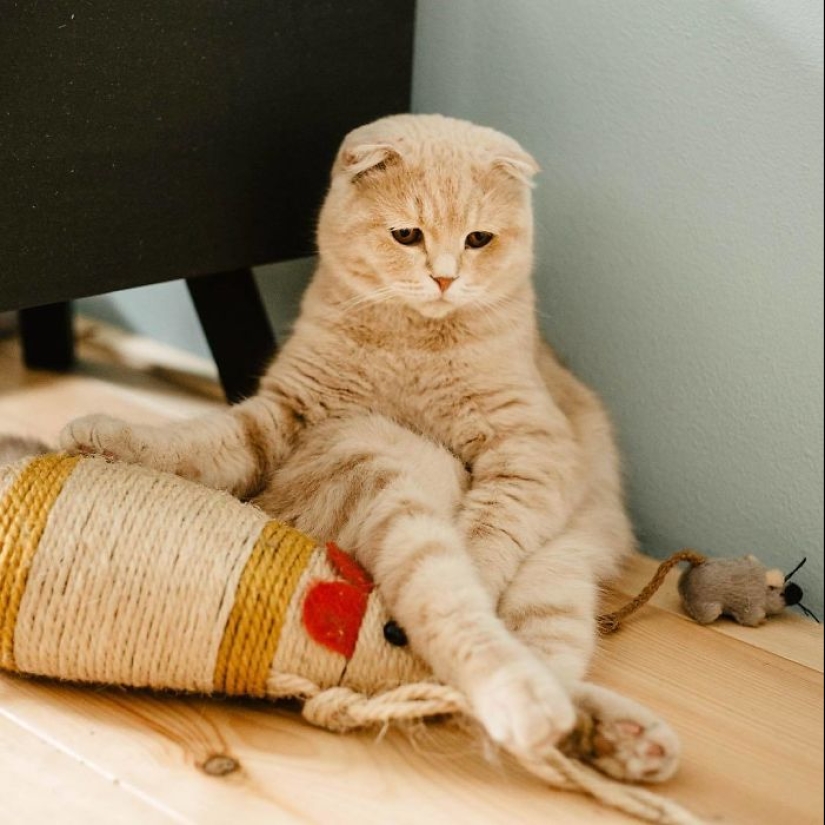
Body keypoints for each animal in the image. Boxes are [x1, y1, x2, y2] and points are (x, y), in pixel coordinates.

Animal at [56, 114, 676, 780]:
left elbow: (486, 539)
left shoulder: (533, 448)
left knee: (501, 639)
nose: (445, 277)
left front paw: (479, 562)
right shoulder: (285, 416)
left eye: (478, 239)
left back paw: (585, 727)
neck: (413, 342)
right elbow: (193, 442)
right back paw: (611, 737)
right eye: (407, 235)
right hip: (386, 476)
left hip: (534, 565)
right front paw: (103, 438)